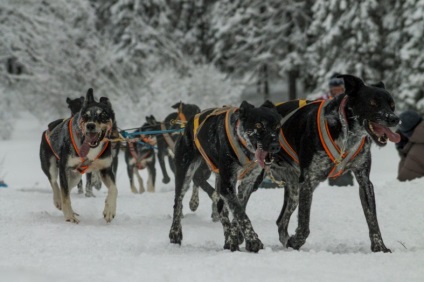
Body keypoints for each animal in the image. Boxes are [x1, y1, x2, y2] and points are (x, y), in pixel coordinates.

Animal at [39, 89, 117, 224]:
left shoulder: (105, 169)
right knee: (55, 183)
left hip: (75, 177)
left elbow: (114, 189)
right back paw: (58, 201)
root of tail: (49, 127)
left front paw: (109, 210)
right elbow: (65, 196)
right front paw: (70, 216)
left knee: (66, 188)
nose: (90, 125)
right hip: (52, 166)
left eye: (103, 115)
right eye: (86, 115)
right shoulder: (64, 168)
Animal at [168, 100, 282, 252]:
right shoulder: (227, 185)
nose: (275, 146)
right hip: (185, 172)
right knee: (178, 202)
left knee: (221, 209)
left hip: (218, 181)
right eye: (258, 125)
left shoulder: (248, 183)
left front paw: (236, 237)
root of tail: (189, 123)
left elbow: (239, 210)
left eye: (277, 126)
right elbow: (240, 213)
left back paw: (229, 240)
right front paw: (253, 241)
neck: (244, 147)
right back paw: (175, 233)